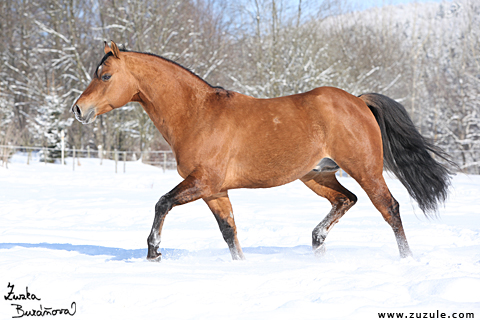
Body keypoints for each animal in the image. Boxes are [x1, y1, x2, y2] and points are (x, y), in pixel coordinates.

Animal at [72, 41, 454, 262]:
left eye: (104, 76)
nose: (78, 109)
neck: (197, 114)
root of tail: (358, 101)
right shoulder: (214, 190)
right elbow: (230, 233)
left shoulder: (202, 182)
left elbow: (162, 203)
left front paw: (153, 251)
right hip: (317, 175)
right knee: (345, 200)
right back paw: (317, 242)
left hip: (366, 169)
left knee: (389, 208)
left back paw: (406, 261)